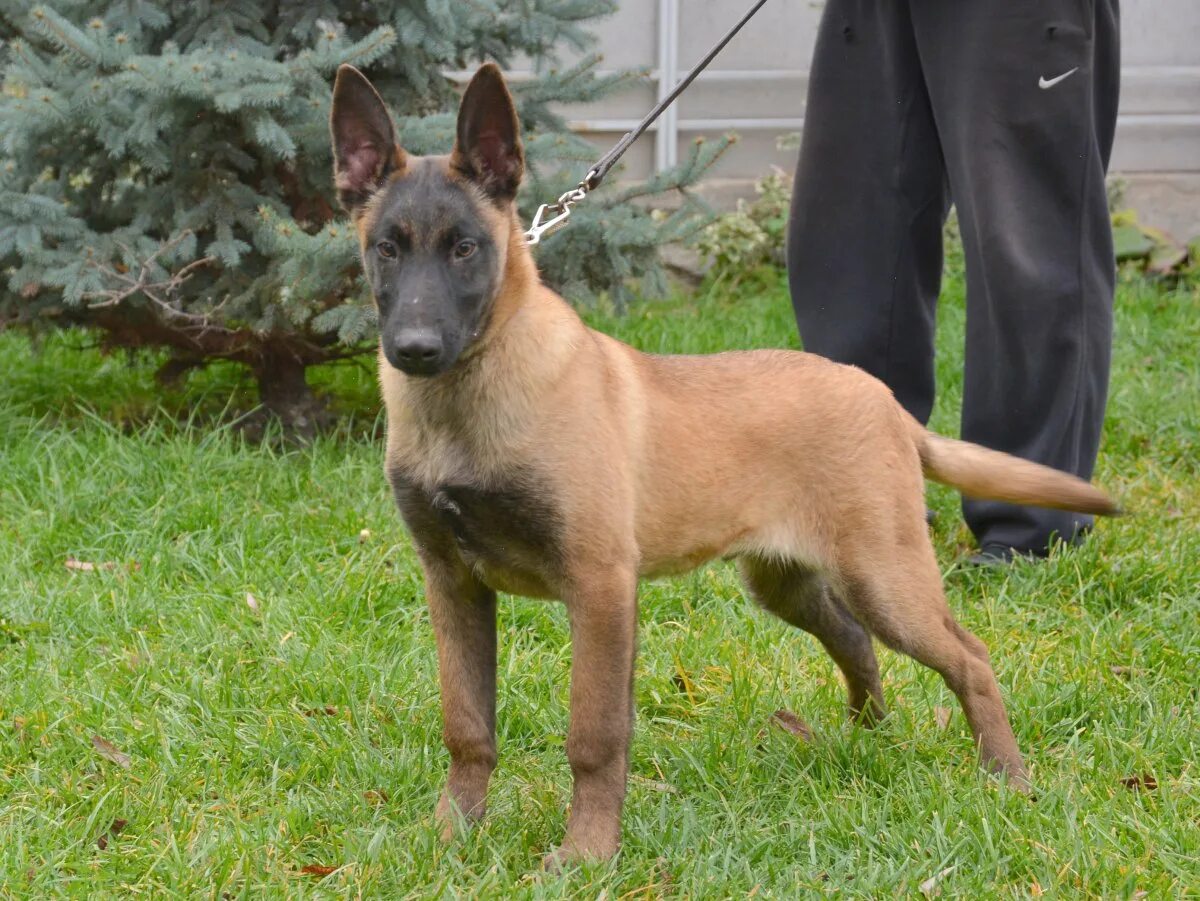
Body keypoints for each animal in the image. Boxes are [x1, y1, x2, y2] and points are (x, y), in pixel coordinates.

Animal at [326, 61, 1113, 868]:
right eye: (386, 248)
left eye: (465, 248)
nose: (415, 349)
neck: (469, 398)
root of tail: (887, 402)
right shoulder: (453, 582)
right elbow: (467, 725)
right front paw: (453, 833)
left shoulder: (599, 585)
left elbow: (594, 734)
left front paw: (587, 854)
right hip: (786, 581)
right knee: (854, 640)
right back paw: (869, 738)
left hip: (886, 577)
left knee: (970, 656)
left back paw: (1007, 777)